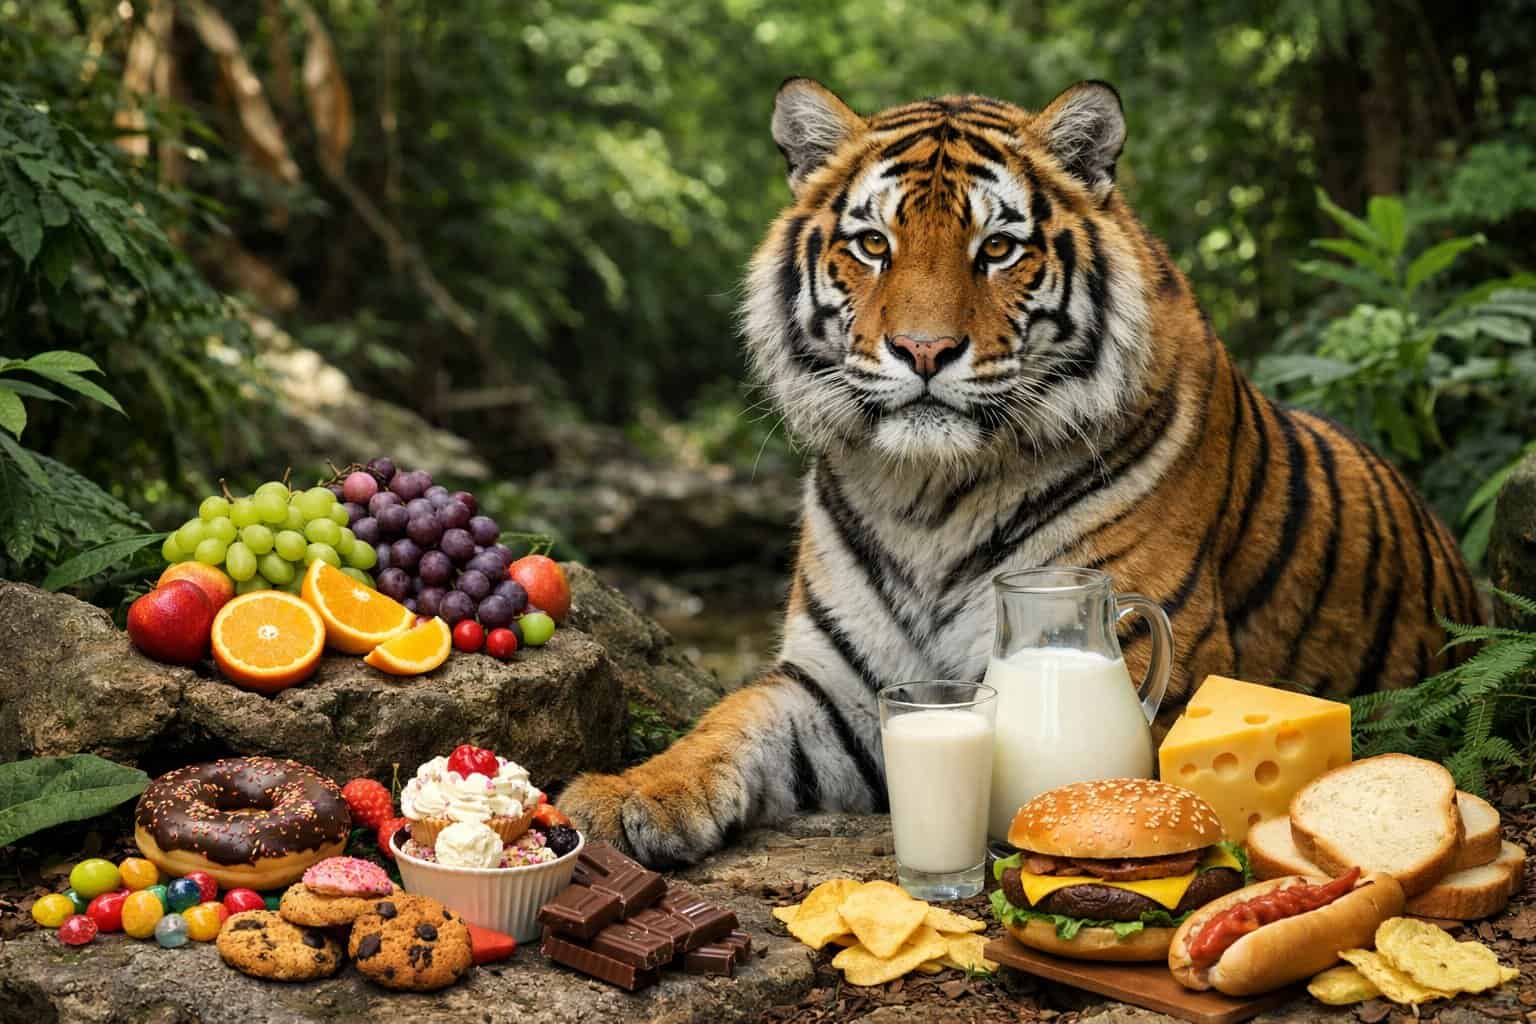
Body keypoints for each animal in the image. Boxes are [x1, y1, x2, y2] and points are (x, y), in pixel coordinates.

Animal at [558, 79, 1481, 867]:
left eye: (997, 248)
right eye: (873, 245)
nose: (923, 350)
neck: (925, 498)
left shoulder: (1154, 673)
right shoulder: (841, 690)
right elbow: (730, 719)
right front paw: (625, 795)